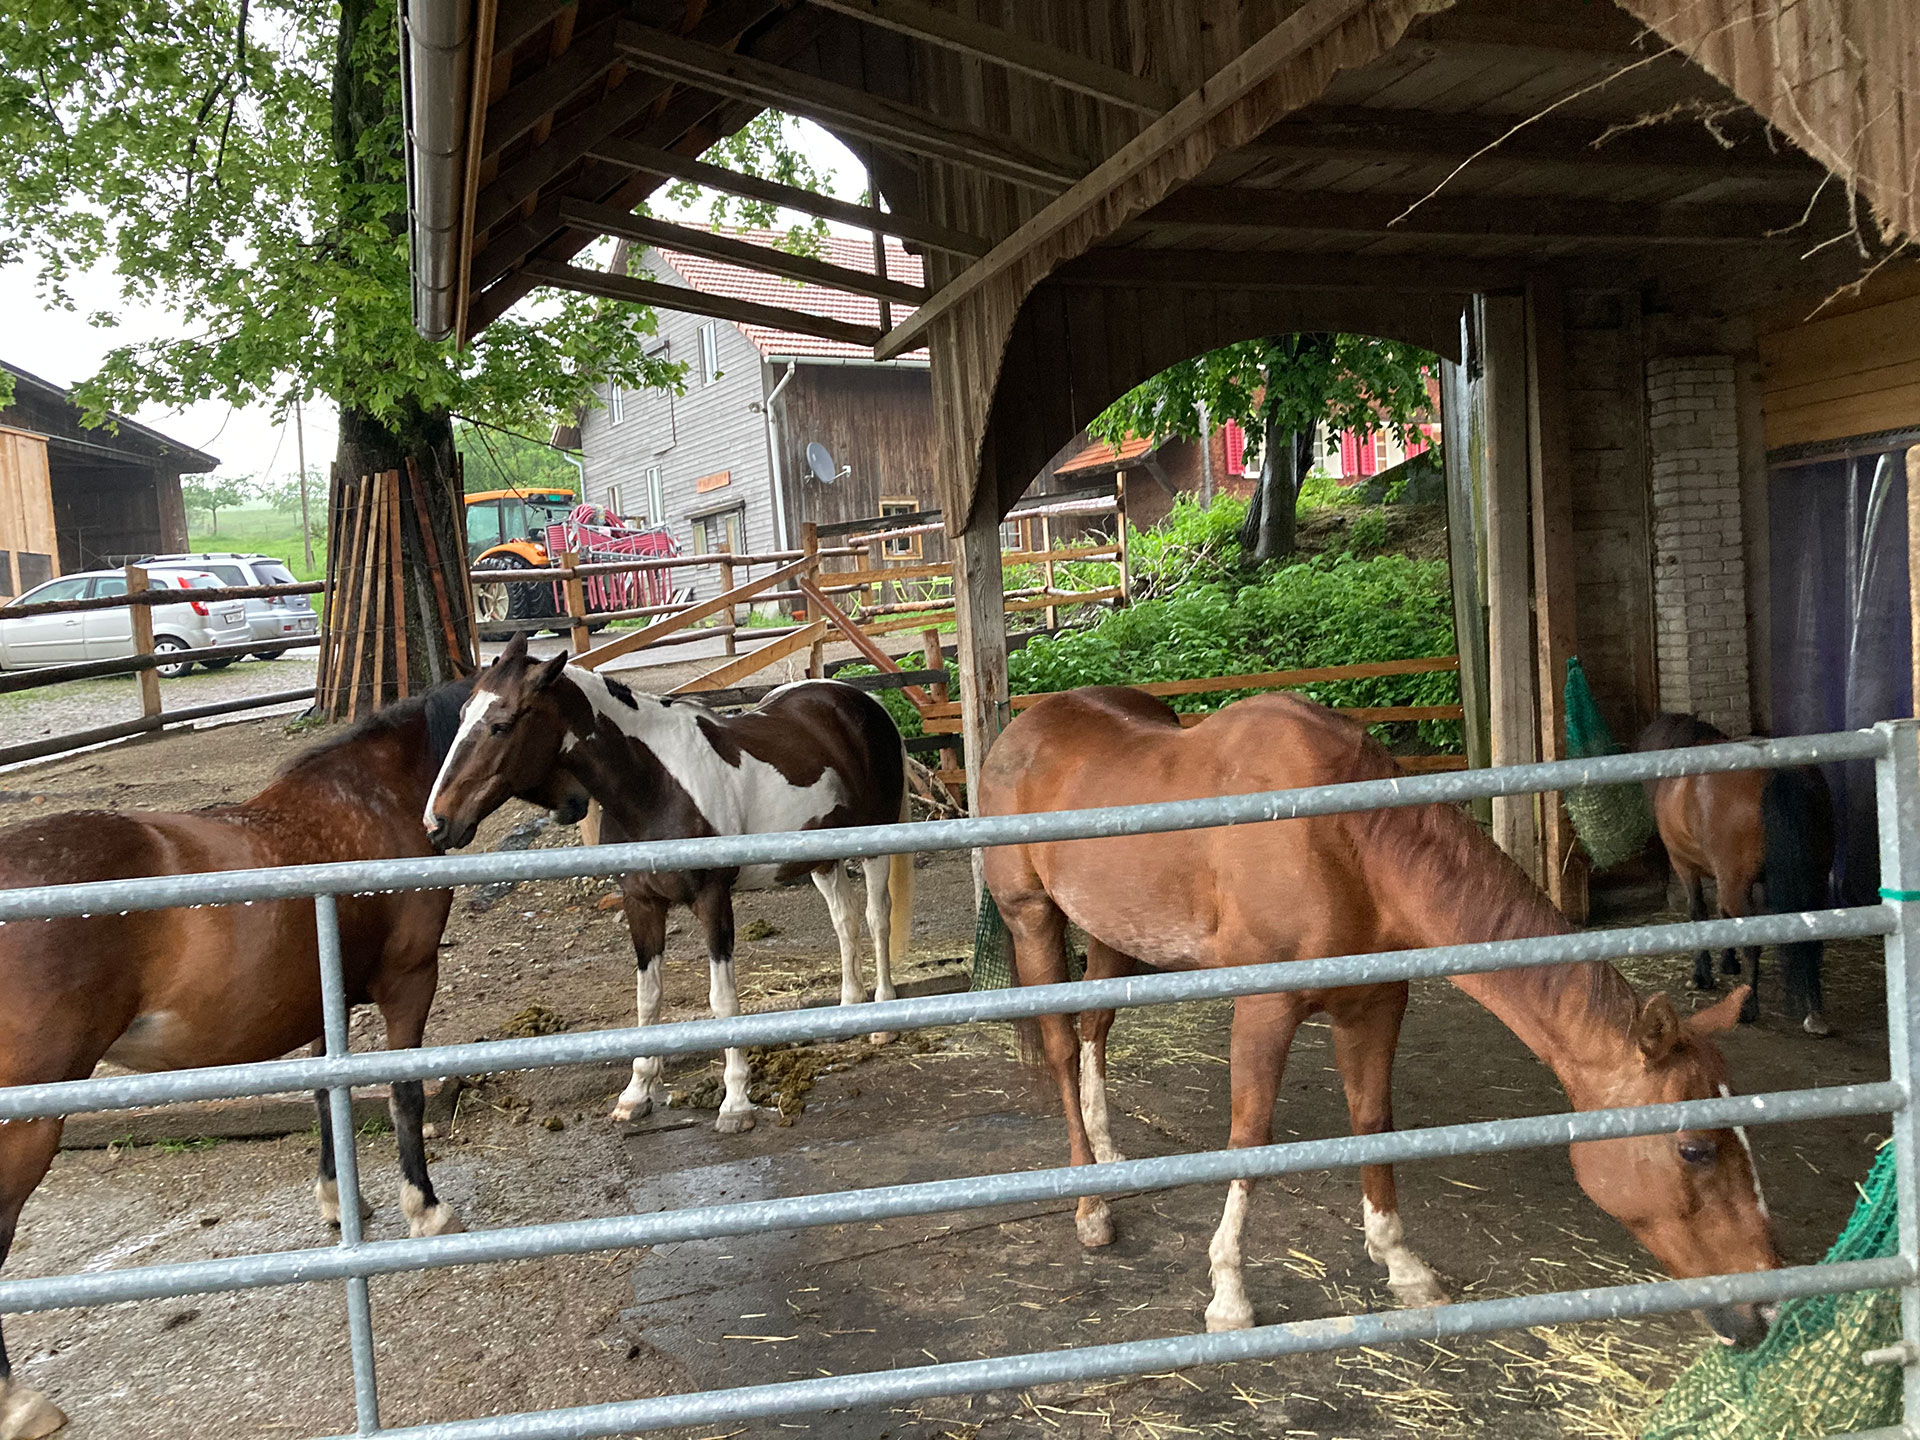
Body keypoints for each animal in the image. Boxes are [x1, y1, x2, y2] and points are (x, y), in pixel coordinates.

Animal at [0, 683, 487, 1436]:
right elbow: (403, 1095)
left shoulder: (323, 1001)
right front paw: (426, 1211)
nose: (447, 825)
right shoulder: (409, 982)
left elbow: (328, 1096)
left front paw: (340, 1205)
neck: (378, 795)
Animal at [424, 641, 917, 1136]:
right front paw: (637, 1093)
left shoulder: (712, 900)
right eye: (464, 714)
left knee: (876, 917)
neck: (655, 785)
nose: (437, 822)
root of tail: (861, 701)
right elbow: (648, 999)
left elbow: (723, 1001)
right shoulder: (641, 903)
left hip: (874, 846)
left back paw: (882, 1017)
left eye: (501, 725)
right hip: (822, 858)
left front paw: (735, 1102)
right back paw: (847, 1012)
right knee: (845, 920)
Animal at [983, 687, 1774, 1351]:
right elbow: (1250, 1137)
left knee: (1094, 1029)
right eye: (1694, 1149)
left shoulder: (1377, 1003)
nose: (1765, 1308)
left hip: (1112, 934)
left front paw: (1401, 1264)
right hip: (1034, 921)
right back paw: (1090, 1204)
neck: (1343, 835)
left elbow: (1372, 1122)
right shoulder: (1265, 1007)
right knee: (1061, 1049)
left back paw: (1111, 1151)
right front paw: (1229, 1297)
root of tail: (1023, 727)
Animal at [1628, 714, 1835, 1029]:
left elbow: (1699, 911)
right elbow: (1722, 914)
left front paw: (1701, 976)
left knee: (1752, 943)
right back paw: (1815, 1012)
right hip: (1816, 881)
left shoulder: (1685, 866)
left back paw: (1748, 1006)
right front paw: (1728, 963)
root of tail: (1776, 770)